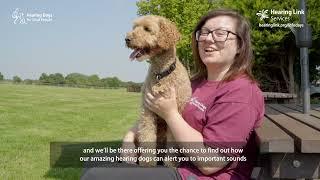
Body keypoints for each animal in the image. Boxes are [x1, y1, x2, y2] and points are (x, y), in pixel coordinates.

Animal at [124, 15, 190, 167]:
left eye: (147, 29)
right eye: (134, 27)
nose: (127, 39)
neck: (161, 74)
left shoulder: (175, 114)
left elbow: (172, 144)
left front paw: (170, 164)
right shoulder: (147, 112)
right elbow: (147, 136)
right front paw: (147, 163)